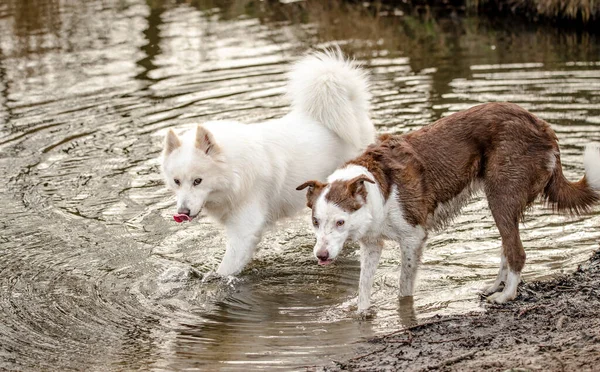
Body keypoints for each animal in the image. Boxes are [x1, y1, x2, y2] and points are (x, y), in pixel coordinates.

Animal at [159, 50, 376, 276]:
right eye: (176, 181)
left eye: (198, 181)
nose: (182, 212)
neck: (235, 170)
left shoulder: (244, 231)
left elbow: (225, 270)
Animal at [298, 102, 600, 314]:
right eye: (315, 221)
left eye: (340, 222)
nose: (321, 256)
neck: (378, 187)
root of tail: (543, 126)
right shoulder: (372, 243)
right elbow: (363, 285)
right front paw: (361, 313)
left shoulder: (413, 238)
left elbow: (404, 287)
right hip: (502, 200)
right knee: (507, 245)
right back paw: (495, 286)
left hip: (501, 196)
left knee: (516, 251)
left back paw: (506, 295)